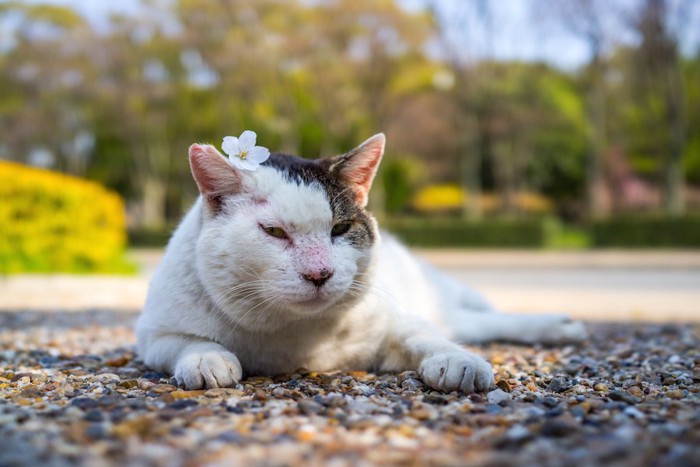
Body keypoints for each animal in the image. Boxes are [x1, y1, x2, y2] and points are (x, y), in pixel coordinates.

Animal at [135, 133, 584, 394]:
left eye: (341, 228)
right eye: (274, 232)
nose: (319, 273)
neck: (294, 336)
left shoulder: (392, 326)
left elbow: (422, 335)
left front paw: (458, 361)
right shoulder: (152, 335)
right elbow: (188, 341)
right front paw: (207, 359)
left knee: (470, 320)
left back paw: (558, 326)